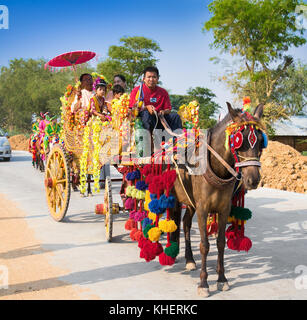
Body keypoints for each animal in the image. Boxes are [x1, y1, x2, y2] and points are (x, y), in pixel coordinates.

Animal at [170, 102, 266, 298]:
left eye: (261, 141)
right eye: (238, 140)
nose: (253, 180)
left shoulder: (223, 209)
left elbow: (221, 243)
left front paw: (222, 278)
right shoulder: (203, 209)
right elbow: (205, 245)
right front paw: (203, 283)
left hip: (190, 203)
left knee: (185, 223)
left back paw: (189, 259)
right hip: (173, 196)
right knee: (171, 219)